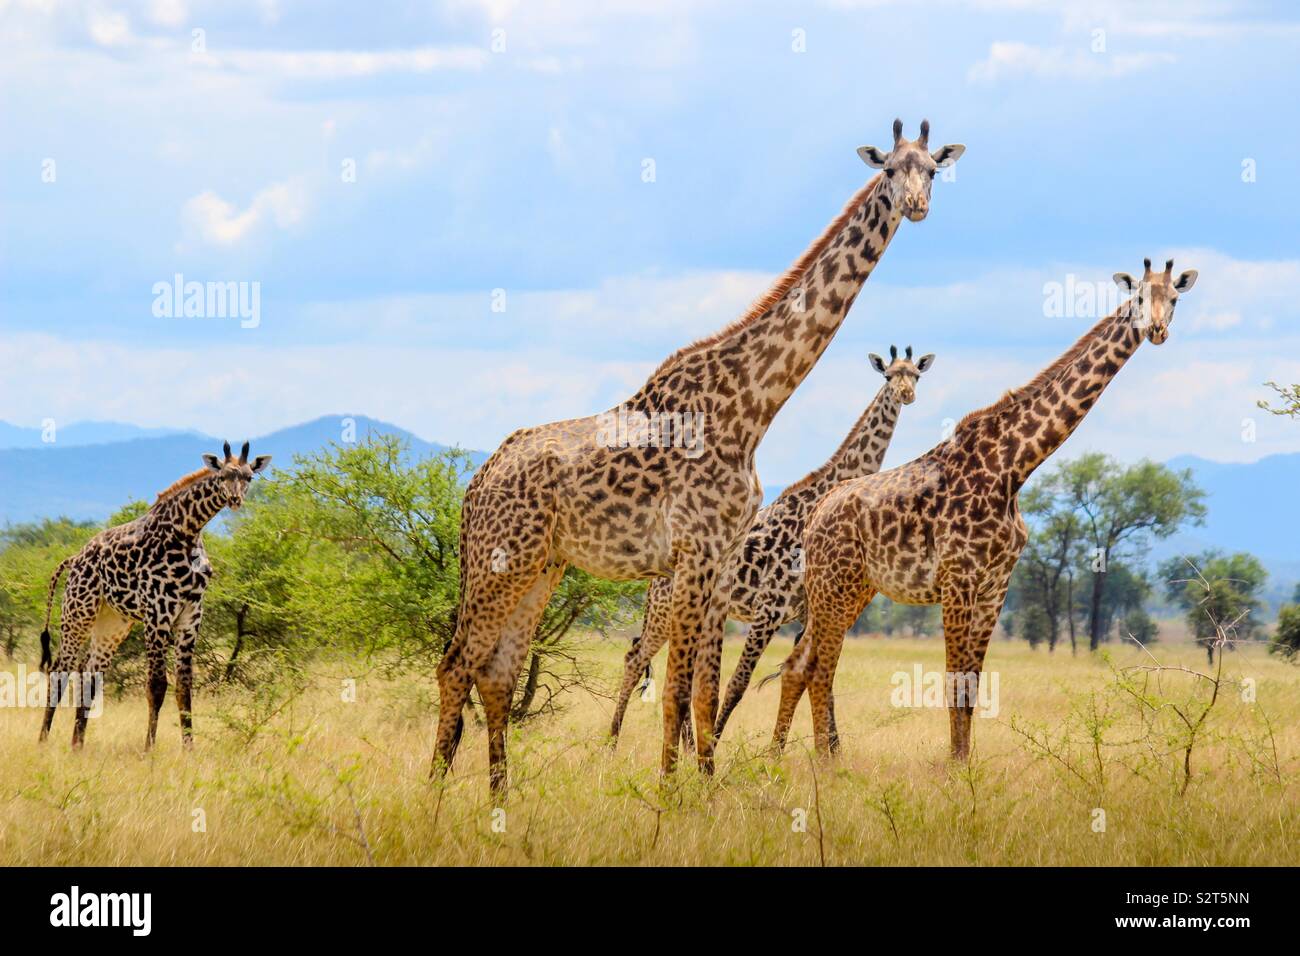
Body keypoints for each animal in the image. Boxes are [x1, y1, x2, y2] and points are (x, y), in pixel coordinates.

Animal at [38, 441, 271, 749]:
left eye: (249, 477)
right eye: (223, 476)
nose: (235, 499)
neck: (187, 532)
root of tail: (73, 559)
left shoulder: (191, 615)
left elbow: (184, 687)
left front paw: (189, 749)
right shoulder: (158, 613)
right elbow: (157, 686)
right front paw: (149, 749)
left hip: (113, 622)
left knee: (90, 674)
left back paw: (77, 745)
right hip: (78, 613)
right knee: (59, 670)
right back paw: (42, 741)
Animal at [608, 345, 935, 747]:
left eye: (915, 376)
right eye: (889, 376)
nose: (907, 394)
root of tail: (655, 577)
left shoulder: (806, 612)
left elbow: (811, 674)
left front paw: (830, 747)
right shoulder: (770, 608)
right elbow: (739, 682)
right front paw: (718, 742)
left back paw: (683, 745)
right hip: (664, 610)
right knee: (636, 657)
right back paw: (612, 741)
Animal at [771, 258, 1198, 759]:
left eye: (1174, 299)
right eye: (1138, 298)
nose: (1157, 330)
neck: (1015, 466)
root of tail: (817, 515)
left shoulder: (997, 584)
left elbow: (972, 685)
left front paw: (963, 762)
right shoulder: (959, 579)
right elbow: (954, 681)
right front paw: (953, 767)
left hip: (853, 589)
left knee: (800, 663)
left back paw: (782, 755)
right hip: (833, 587)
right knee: (819, 666)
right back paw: (825, 763)